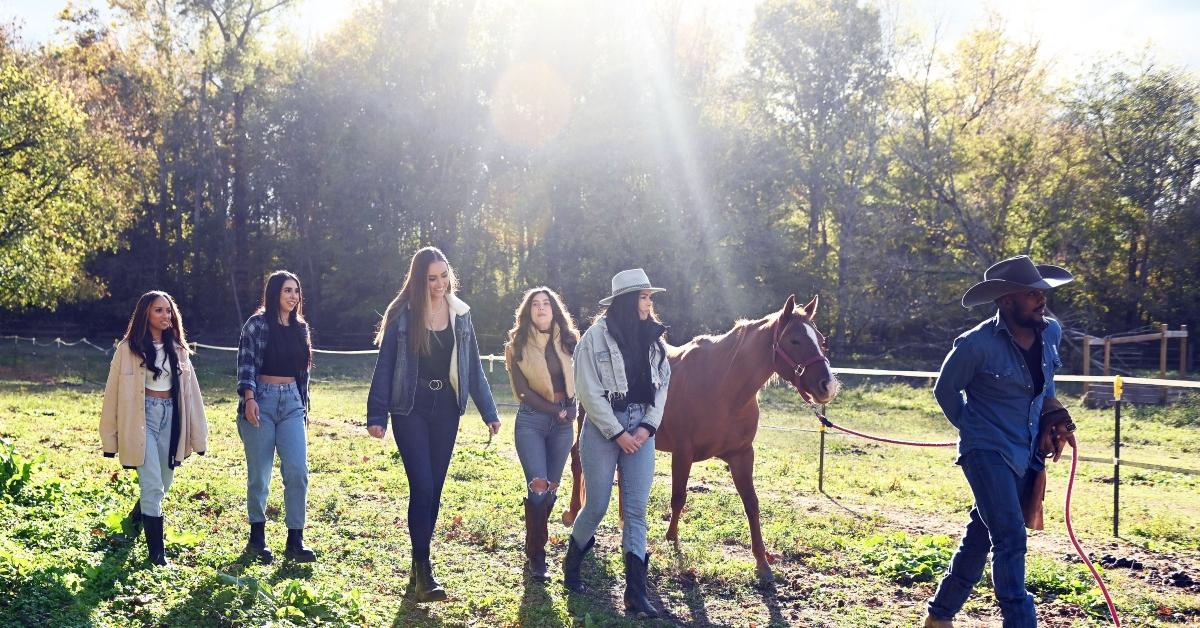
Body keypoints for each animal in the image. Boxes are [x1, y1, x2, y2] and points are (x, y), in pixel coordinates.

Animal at [559, 295, 835, 585]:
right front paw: (671, 539)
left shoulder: (742, 455)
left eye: (821, 340)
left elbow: (752, 503)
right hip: (587, 421)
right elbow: (678, 497)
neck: (723, 387)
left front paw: (762, 562)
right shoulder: (683, 453)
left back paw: (623, 521)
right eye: (794, 340)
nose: (827, 386)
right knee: (577, 460)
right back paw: (573, 512)